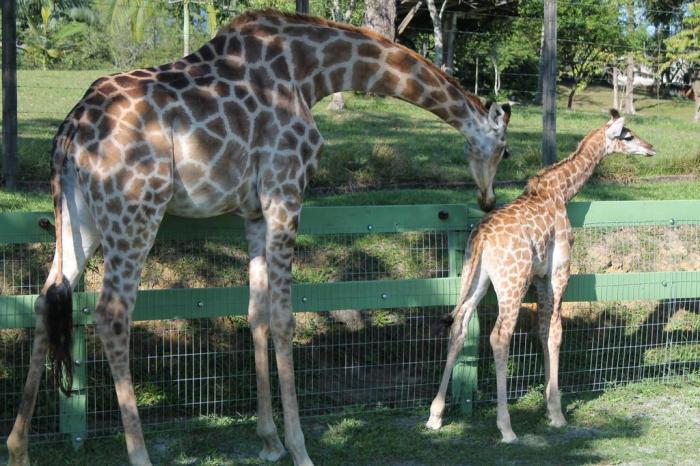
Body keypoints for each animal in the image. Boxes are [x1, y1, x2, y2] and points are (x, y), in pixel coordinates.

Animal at [8, 8, 512, 466]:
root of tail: (70, 131)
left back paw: (18, 449)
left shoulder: (252, 211)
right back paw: (139, 455)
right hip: (135, 210)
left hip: (79, 218)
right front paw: (299, 448)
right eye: (505, 149)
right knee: (112, 314)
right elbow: (285, 317)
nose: (488, 199)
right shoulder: (286, 191)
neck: (310, 71)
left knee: (46, 298)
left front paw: (269, 441)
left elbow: (255, 313)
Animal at [426, 109, 656, 440]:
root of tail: (481, 238)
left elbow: (542, 329)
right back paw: (506, 427)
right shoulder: (558, 272)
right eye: (628, 135)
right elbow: (556, 332)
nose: (651, 148)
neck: (560, 190)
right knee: (499, 336)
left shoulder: (538, 278)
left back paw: (435, 415)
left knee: (458, 326)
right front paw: (557, 413)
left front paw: (549, 406)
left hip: (476, 278)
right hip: (512, 283)